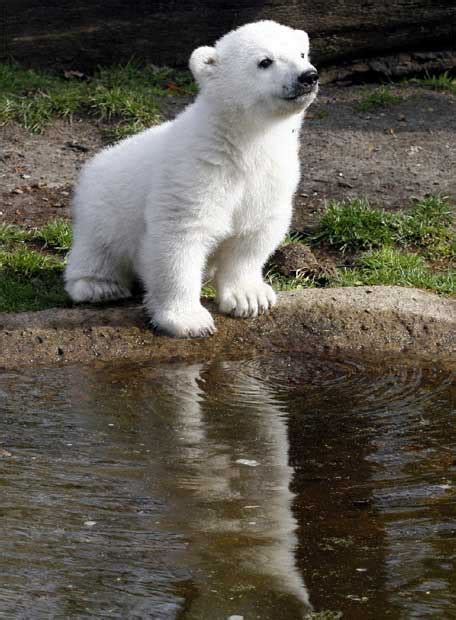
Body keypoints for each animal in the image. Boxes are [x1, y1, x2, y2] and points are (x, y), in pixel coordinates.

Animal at [65, 21, 318, 336]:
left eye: (302, 53)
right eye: (265, 61)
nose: (308, 76)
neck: (240, 143)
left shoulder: (270, 177)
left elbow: (253, 234)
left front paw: (250, 299)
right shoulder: (195, 171)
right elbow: (181, 236)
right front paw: (189, 321)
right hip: (102, 207)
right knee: (98, 247)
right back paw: (99, 286)